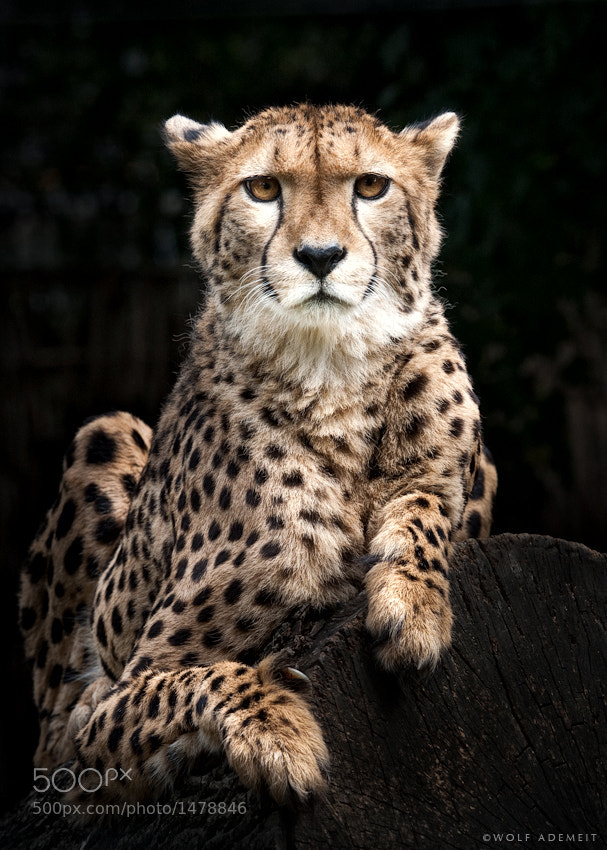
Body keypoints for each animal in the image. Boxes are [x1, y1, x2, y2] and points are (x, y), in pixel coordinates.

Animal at [20, 103, 497, 808]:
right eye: (264, 188)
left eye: (372, 186)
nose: (321, 257)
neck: (331, 368)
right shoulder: (107, 708)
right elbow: (196, 681)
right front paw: (276, 732)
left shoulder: (458, 482)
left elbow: (426, 504)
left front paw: (413, 608)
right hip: (106, 430)